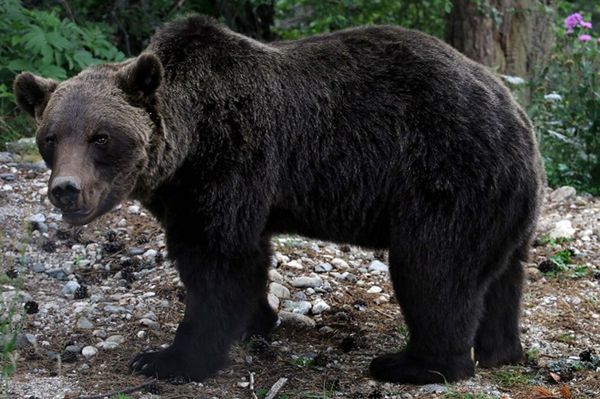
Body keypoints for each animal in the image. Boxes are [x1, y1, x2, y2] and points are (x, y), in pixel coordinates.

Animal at [12, 14, 544, 384]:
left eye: (101, 138)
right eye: (51, 138)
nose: (65, 189)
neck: (186, 146)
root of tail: (519, 116)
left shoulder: (230, 159)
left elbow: (218, 260)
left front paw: (168, 358)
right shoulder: (217, 186)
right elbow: (248, 258)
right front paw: (256, 320)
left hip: (447, 175)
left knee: (433, 268)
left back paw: (413, 364)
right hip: (503, 202)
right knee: (501, 276)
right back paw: (500, 350)